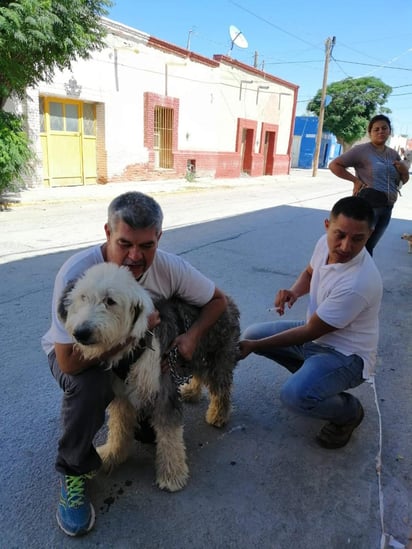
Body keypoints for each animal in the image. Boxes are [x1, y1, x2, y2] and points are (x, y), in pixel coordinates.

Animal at [56, 264, 240, 490]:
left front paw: (172, 475)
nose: (81, 332)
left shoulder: (163, 390)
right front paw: (113, 454)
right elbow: (119, 425)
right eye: (82, 297)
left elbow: (169, 435)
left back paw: (218, 415)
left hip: (216, 358)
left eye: (110, 301)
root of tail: (227, 298)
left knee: (221, 387)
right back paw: (192, 392)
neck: (133, 345)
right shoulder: (121, 393)